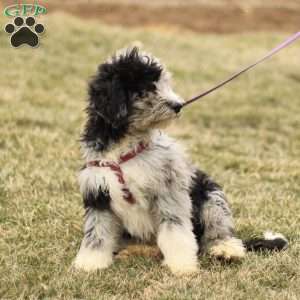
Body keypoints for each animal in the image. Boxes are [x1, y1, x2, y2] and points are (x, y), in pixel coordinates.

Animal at [74, 47, 288, 274]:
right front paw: (90, 262)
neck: (125, 146)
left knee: (216, 231)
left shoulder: (168, 188)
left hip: (210, 195)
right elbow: (97, 232)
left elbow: (175, 230)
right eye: (146, 89)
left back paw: (225, 249)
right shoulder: (98, 193)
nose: (178, 105)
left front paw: (182, 265)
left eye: (163, 84)